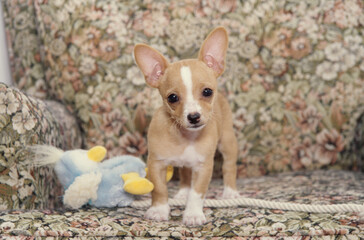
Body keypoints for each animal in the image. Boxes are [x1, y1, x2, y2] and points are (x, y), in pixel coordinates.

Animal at [134, 27, 239, 226]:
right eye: (172, 98)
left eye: (207, 92)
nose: (194, 116)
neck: (186, 137)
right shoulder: (156, 164)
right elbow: (159, 189)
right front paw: (159, 210)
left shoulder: (203, 167)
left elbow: (197, 193)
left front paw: (193, 214)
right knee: (184, 173)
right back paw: (183, 192)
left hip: (227, 142)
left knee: (229, 166)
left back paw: (230, 191)